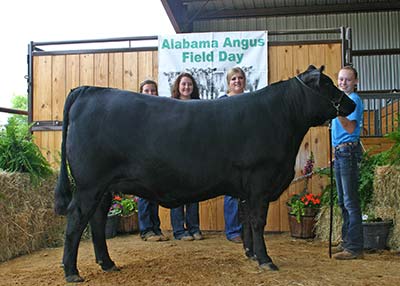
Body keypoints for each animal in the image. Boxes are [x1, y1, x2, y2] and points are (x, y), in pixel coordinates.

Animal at [54, 65, 354, 282]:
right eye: (328, 84)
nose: (350, 104)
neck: (283, 116)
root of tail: (88, 90)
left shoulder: (247, 188)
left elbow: (246, 220)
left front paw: (250, 253)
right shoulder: (259, 181)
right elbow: (258, 222)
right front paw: (265, 260)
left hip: (104, 188)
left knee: (96, 221)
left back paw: (107, 264)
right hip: (89, 185)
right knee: (76, 221)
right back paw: (72, 272)